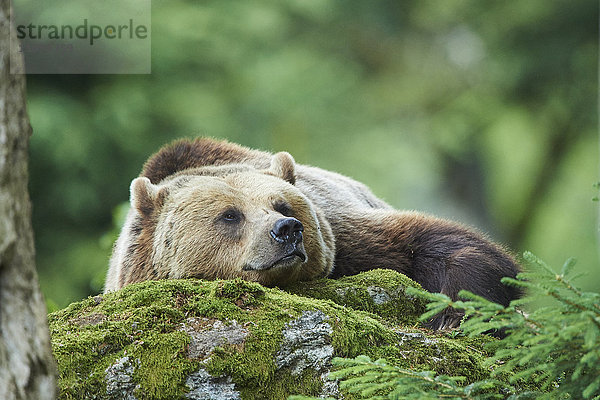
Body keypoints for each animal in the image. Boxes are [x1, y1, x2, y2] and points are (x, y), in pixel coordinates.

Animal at [105, 138, 524, 328]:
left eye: (283, 206)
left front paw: (454, 316)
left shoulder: (343, 235)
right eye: (230, 215)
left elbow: (436, 243)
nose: (286, 231)